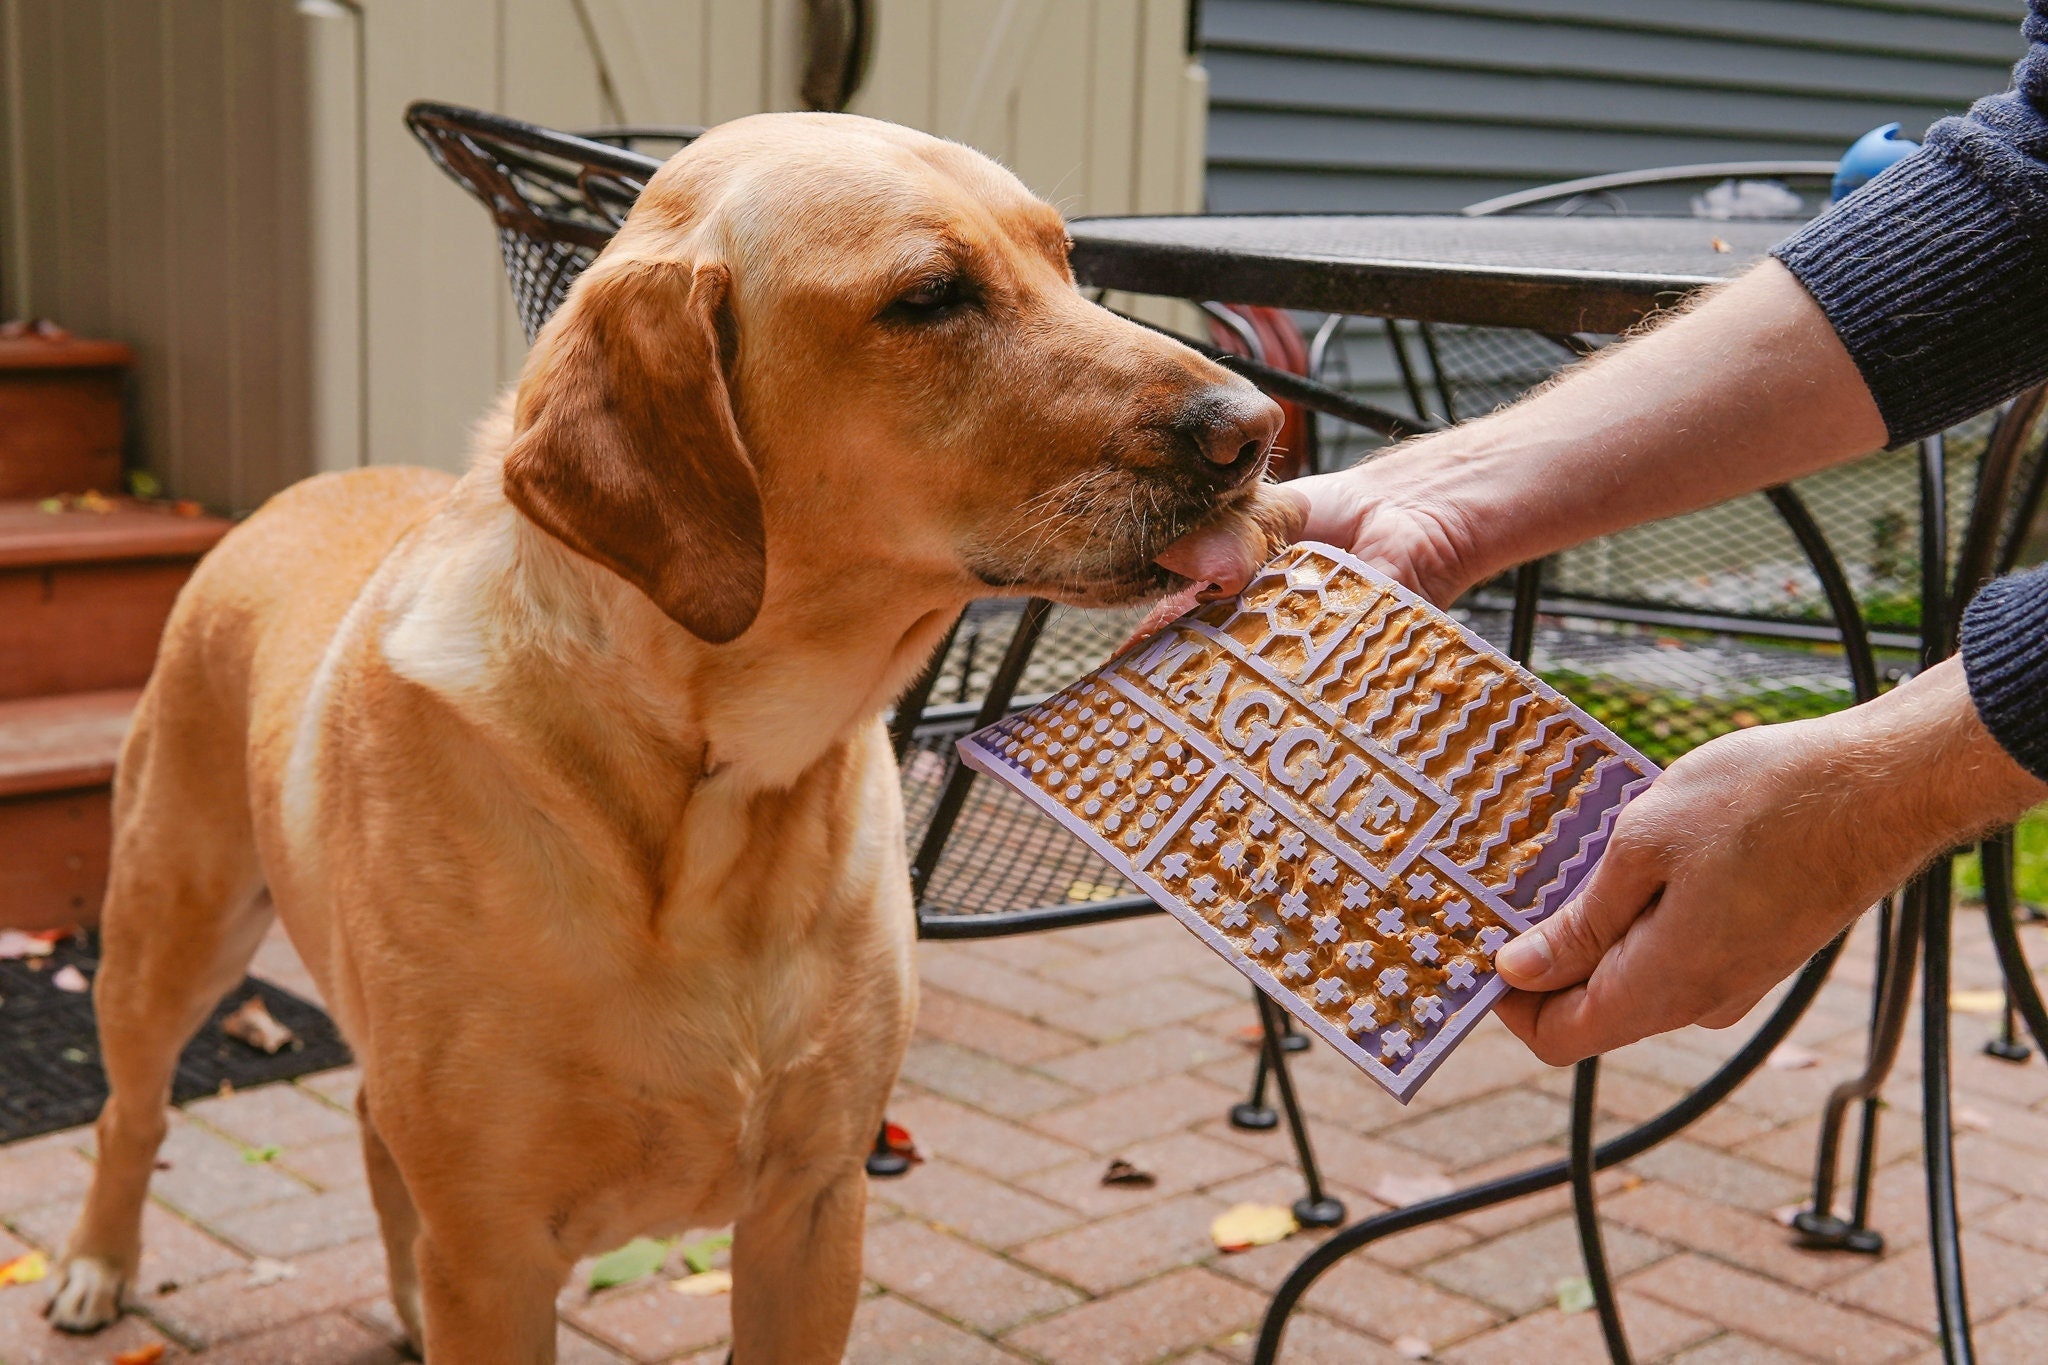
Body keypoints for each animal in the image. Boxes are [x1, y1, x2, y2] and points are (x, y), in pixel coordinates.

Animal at [51, 117, 1277, 1365]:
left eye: (1064, 260)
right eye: (930, 296)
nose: (1253, 431)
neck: (715, 793)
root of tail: (295, 489)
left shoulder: (815, 1206)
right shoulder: (492, 1255)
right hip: (171, 931)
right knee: (129, 1111)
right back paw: (96, 1266)